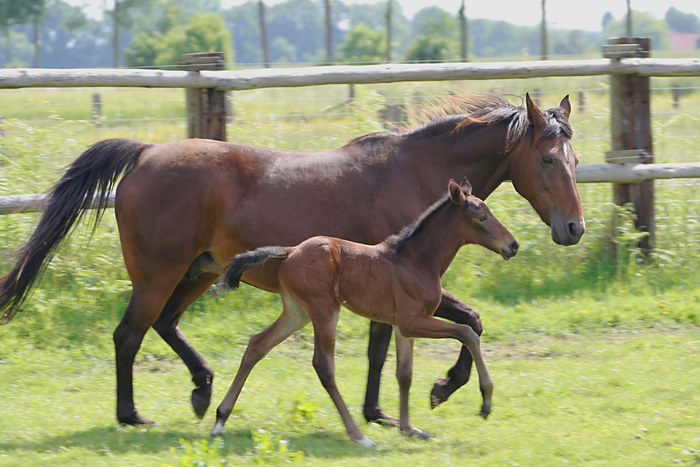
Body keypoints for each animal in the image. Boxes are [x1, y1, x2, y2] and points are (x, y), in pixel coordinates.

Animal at [0, 92, 584, 428]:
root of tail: (144, 153)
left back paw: (202, 391)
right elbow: (448, 329)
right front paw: (430, 395)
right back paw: (133, 415)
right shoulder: (400, 280)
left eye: (576, 159)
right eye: (548, 159)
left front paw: (397, 405)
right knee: (129, 335)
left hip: (200, 271)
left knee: (165, 325)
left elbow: (428, 335)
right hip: (157, 275)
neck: (417, 174)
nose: (573, 229)